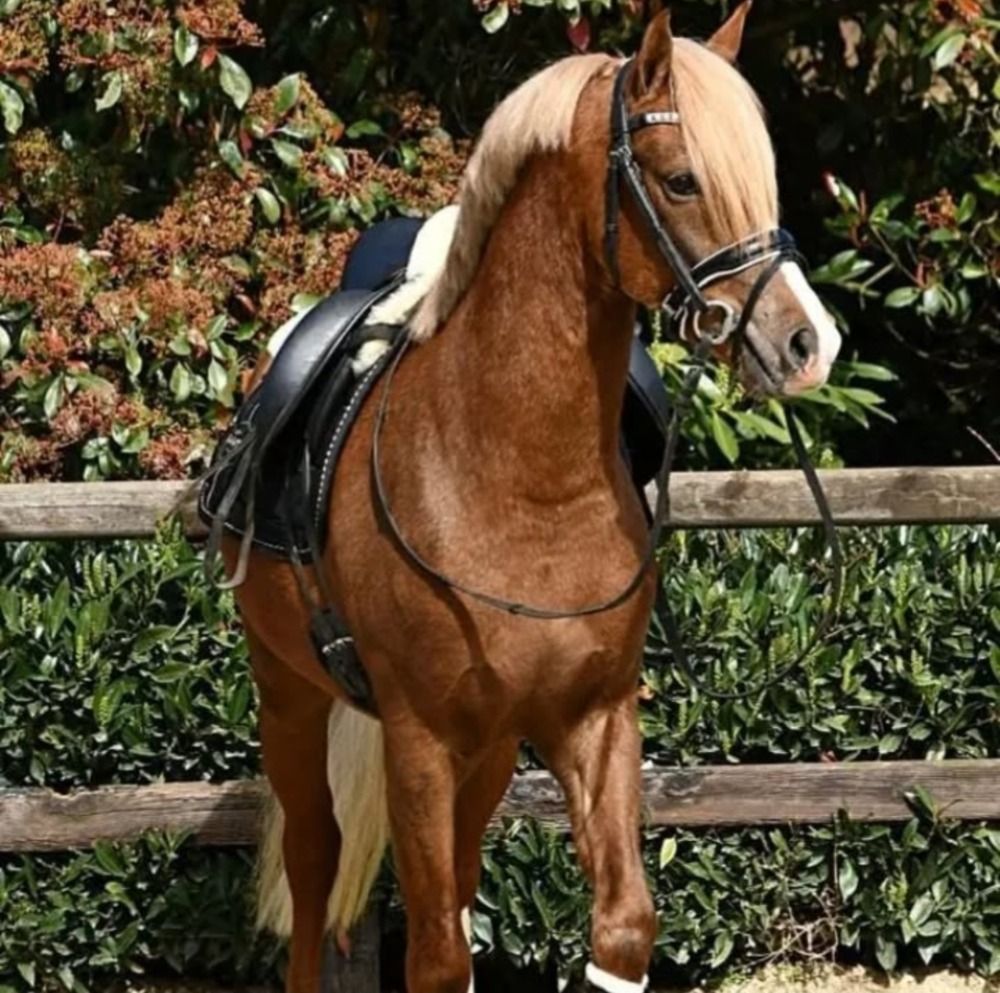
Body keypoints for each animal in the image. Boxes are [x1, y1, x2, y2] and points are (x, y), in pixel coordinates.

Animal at [227, 6, 842, 992]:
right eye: (681, 179)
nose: (806, 342)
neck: (518, 482)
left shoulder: (592, 718)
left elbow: (621, 923)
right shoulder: (420, 740)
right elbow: (436, 954)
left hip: (485, 749)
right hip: (288, 692)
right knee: (315, 862)